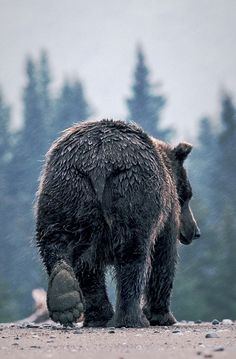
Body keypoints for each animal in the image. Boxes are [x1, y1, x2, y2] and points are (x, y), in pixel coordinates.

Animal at [35, 120, 200, 330]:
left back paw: (69, 301)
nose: (194, 231)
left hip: (67, 190)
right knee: (133, 252)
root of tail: (99, 163)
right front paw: (161, 315)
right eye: (186, 195)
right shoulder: (168, 212)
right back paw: (131, 319)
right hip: (133, 190)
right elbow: (164, 256)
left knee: (59, 242)